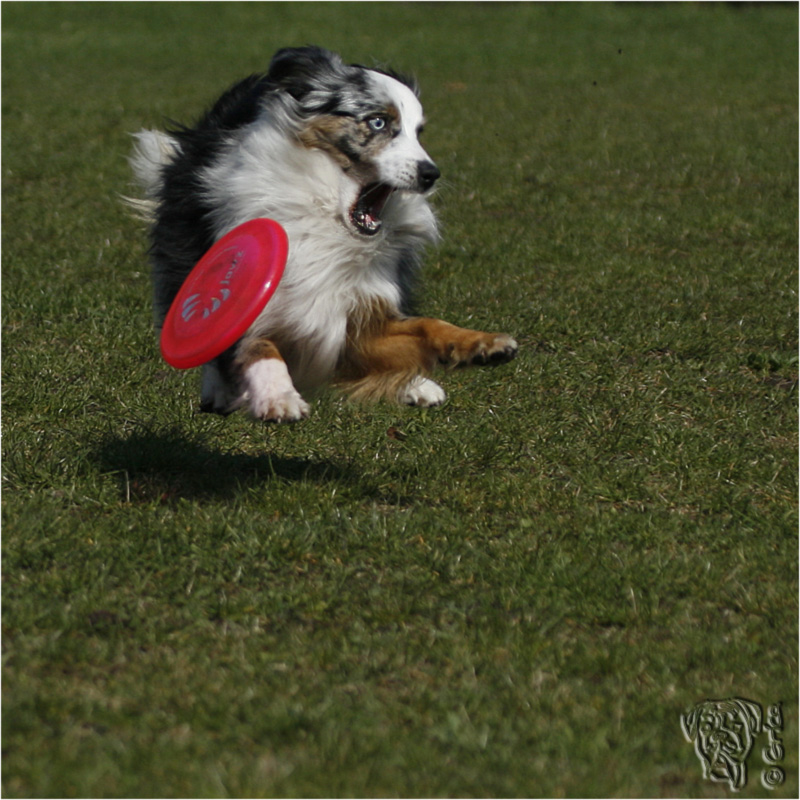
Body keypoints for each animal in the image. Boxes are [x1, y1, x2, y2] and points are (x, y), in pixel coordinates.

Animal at [130, 46, 520, 422]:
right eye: (378, 121)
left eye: (418, 132)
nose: (430, 174)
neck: (326, 216)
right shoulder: (256, 298)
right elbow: (255, 345)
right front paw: (278, 396)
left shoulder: (358, 317)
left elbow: (426, 325)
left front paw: (482, 344)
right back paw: (220, 390)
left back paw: (419, 385)